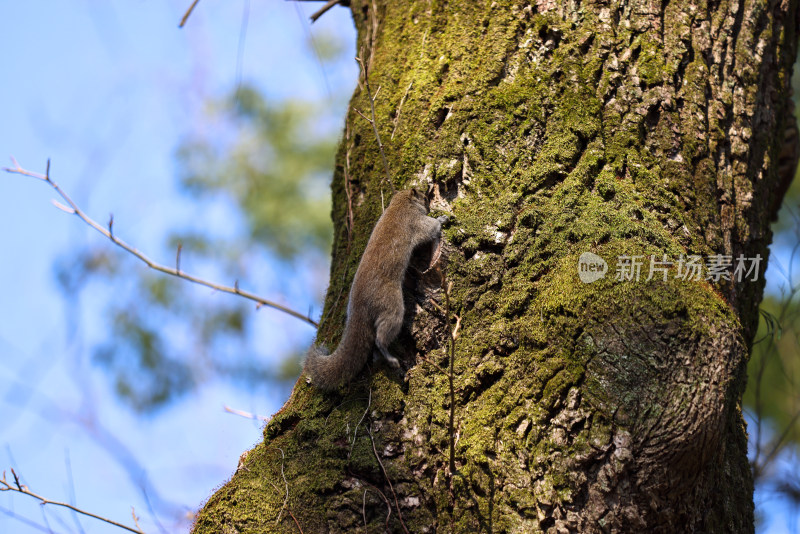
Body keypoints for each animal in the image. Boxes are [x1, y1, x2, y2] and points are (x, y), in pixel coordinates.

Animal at [304, 191, 446, 392]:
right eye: (423, 196)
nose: (428, 196)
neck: (400, 205)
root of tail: (358, 307)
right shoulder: (417, 223)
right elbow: (431, 228)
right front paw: (442, 219)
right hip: (391, 306)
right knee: (381, 337)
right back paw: (391, 358)